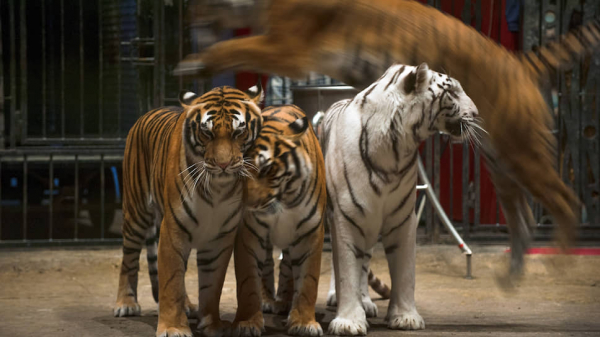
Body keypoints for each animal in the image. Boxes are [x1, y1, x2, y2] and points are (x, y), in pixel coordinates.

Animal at [112, 84, 262, 336]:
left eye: (238, 132)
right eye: (207, 133)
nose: (223, 165)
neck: (217, 189)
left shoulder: (220, 240)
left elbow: (212, 285)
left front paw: (213, 325)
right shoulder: (173, 230)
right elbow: (172, 282)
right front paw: (174, 328)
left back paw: (189, 306)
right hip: (136, 212)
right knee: (128, 260)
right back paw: (126, 303)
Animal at [173, 0, 600, 284]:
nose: (189, 18)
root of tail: (520, 63)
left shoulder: (289, 45)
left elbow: (234, 47)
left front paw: (191, 62)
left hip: (522, 150)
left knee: (566, 200)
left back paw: (559, 261)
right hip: (500, 161)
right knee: (521, 215)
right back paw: (512, 273)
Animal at [234, 103, 328, 334]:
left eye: (267, 168)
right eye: (240, 170)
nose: (249, 205)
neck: (283, 201)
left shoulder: (310, 233)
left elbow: (308, 281)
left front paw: (303, 322)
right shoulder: (249, 234)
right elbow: (248, 281)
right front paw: (248, 322)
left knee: (287, 267)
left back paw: (284, 301)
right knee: (267, 265)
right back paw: (268, 300)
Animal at [318, 61, 478, 332]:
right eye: (452, 92)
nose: (476, 114)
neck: (395, 150)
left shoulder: (402, 218)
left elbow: (404, 272)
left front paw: (405, 317)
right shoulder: (346, 216)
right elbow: (346, 269)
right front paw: (348, 322)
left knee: (365, 262)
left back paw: (366, 303)